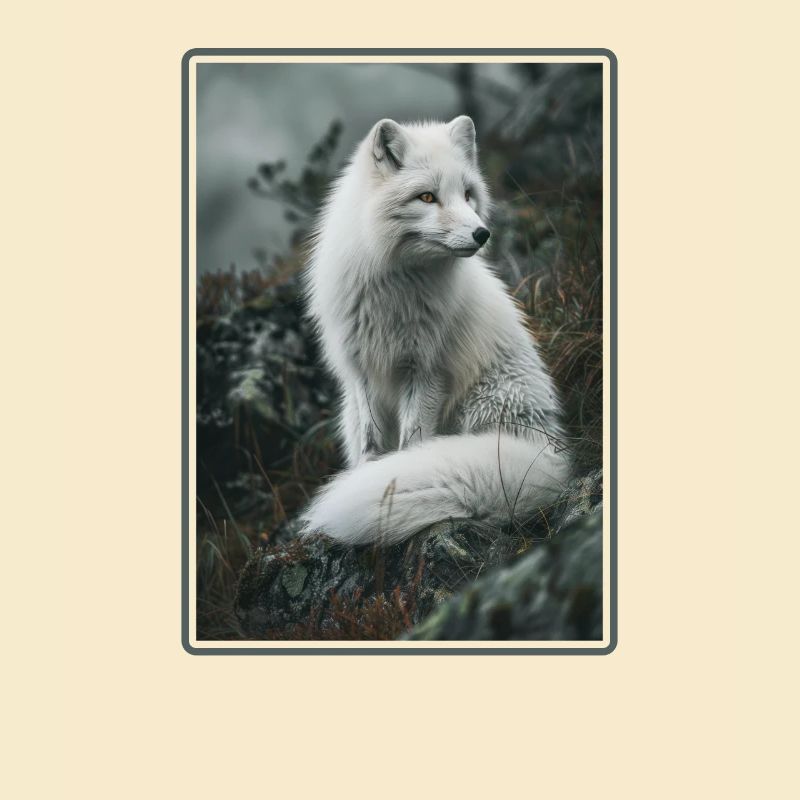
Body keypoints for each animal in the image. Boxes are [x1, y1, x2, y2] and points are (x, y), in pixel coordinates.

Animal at [301, 115, 572, 545]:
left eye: (468, 194)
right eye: (427, 197)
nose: (482, 233)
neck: (395, 288)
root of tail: (549, 453)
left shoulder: (427, 370)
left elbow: (412, 443)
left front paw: (391, 477)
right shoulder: (361, 370)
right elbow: (371, 442)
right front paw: (368, 474)